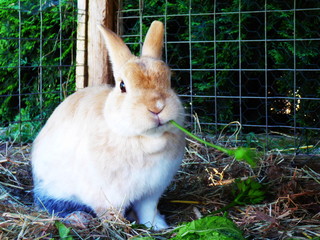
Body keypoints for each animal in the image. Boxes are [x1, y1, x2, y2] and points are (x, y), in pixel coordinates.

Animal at [30, 19, 185, 230]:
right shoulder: (108, 196)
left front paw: (158, 226)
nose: (157, 107)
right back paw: (78, 218)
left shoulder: (152, 192)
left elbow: (148, 211)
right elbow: (111, 214)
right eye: (122, 86)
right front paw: (121, 226)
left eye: (169, 80)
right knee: (52, 205)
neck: (145, 140)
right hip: (51, 187)